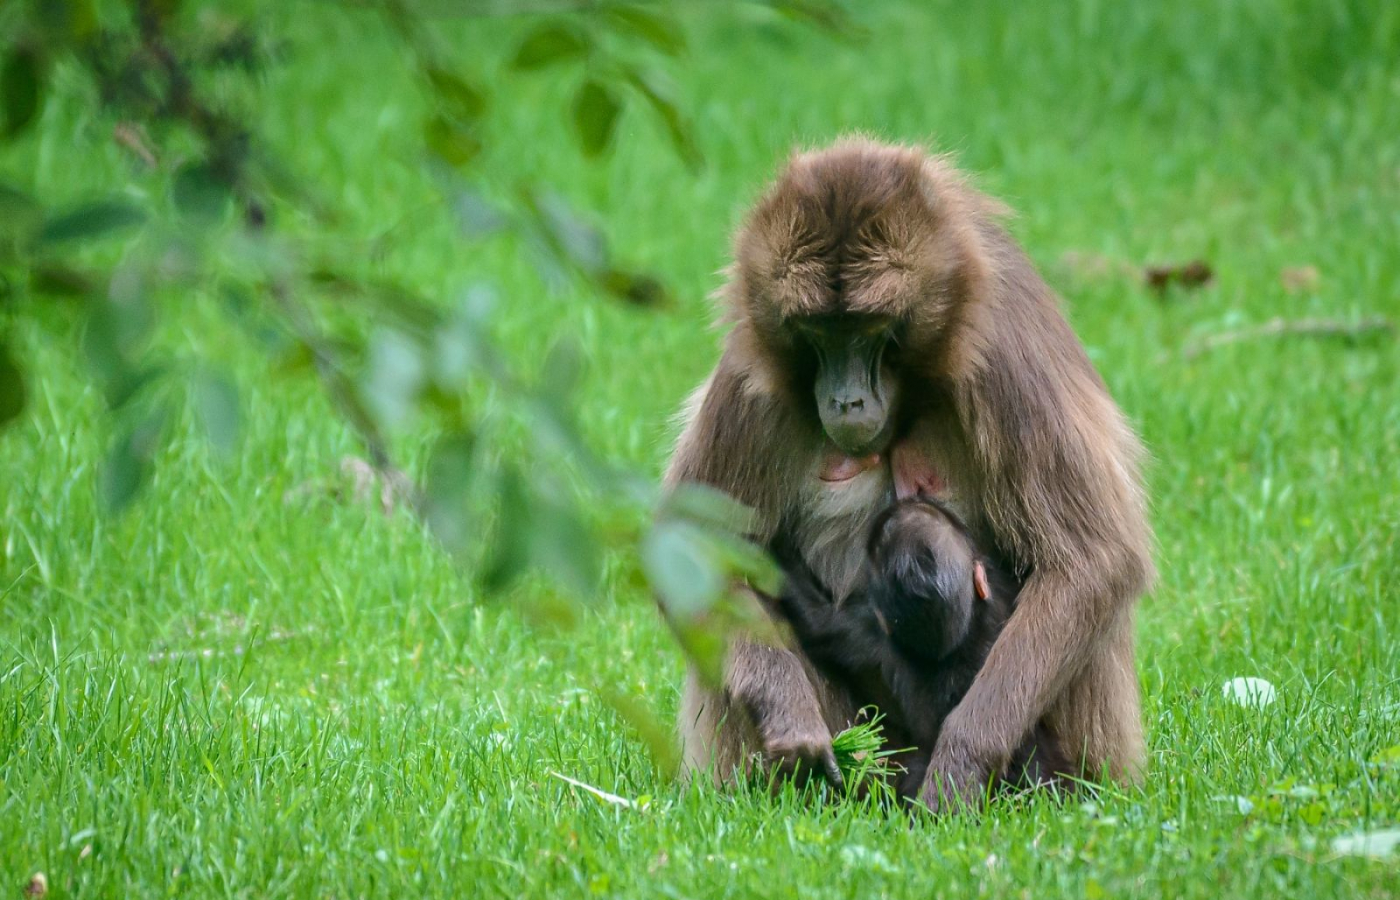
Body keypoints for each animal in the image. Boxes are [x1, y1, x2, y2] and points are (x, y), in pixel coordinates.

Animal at [772, 501, 1064, 800]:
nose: (909, 501)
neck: (956, 641)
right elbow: (817, 619)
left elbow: (819, 620)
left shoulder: (867, 629)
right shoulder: (869, 631)